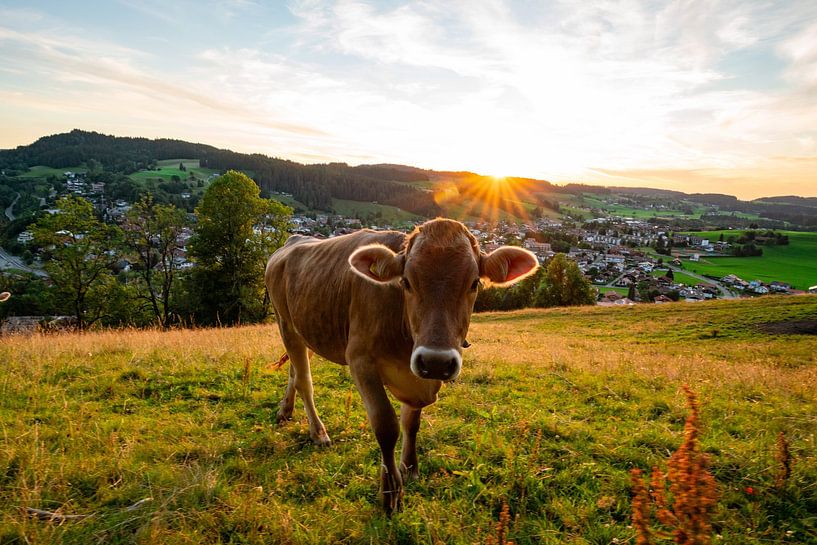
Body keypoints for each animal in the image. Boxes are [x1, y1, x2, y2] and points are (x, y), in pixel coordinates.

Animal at [264, 218, 538, 513]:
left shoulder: (419, 375)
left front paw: (409, 468)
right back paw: (318, 432)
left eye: (474, 283)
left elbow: (411, 423)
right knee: (305, 381)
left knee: (294, 372)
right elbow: (387, 426)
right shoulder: (360, 360)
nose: (437, 360)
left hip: (306, 329)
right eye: (406, 282)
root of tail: (292, 240)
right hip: (285, 323)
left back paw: (285, 410)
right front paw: (391, 490)